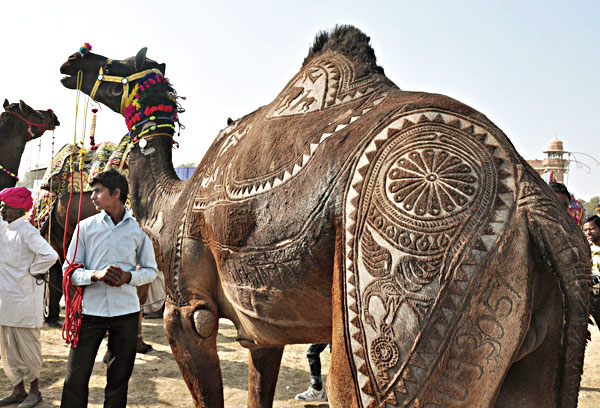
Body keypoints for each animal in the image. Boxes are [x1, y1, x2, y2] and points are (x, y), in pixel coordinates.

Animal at [61, 26, 592, 408]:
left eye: (122, 62)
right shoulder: (260, 328)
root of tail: (535, 205)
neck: (169, 203)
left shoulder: (187, 308)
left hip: (394, 332)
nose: (73, 61)